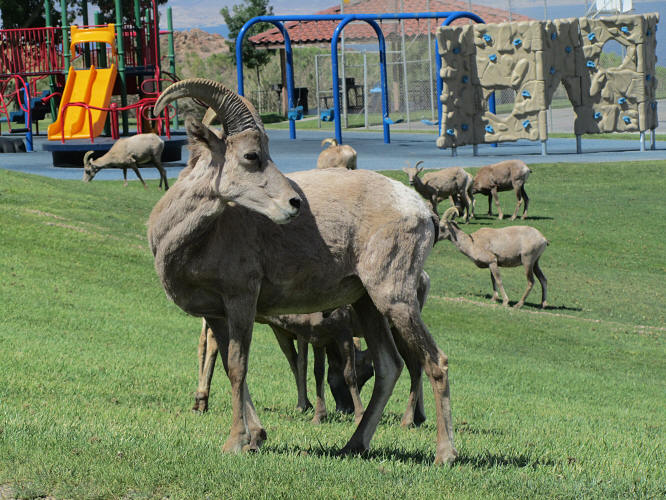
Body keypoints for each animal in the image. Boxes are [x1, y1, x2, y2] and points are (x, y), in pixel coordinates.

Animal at [147, 78, 454, 464]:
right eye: (252, 156)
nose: (294, 203)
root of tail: (421, 210)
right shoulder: (217, 315)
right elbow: (232, 369)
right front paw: (256, 438)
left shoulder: (241, 300)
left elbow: (238, 366)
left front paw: (235, 443)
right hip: (368, 304)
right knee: (389, 366)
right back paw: (353, 444)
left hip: (394, 299)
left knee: (434, 361)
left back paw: (445, 454)